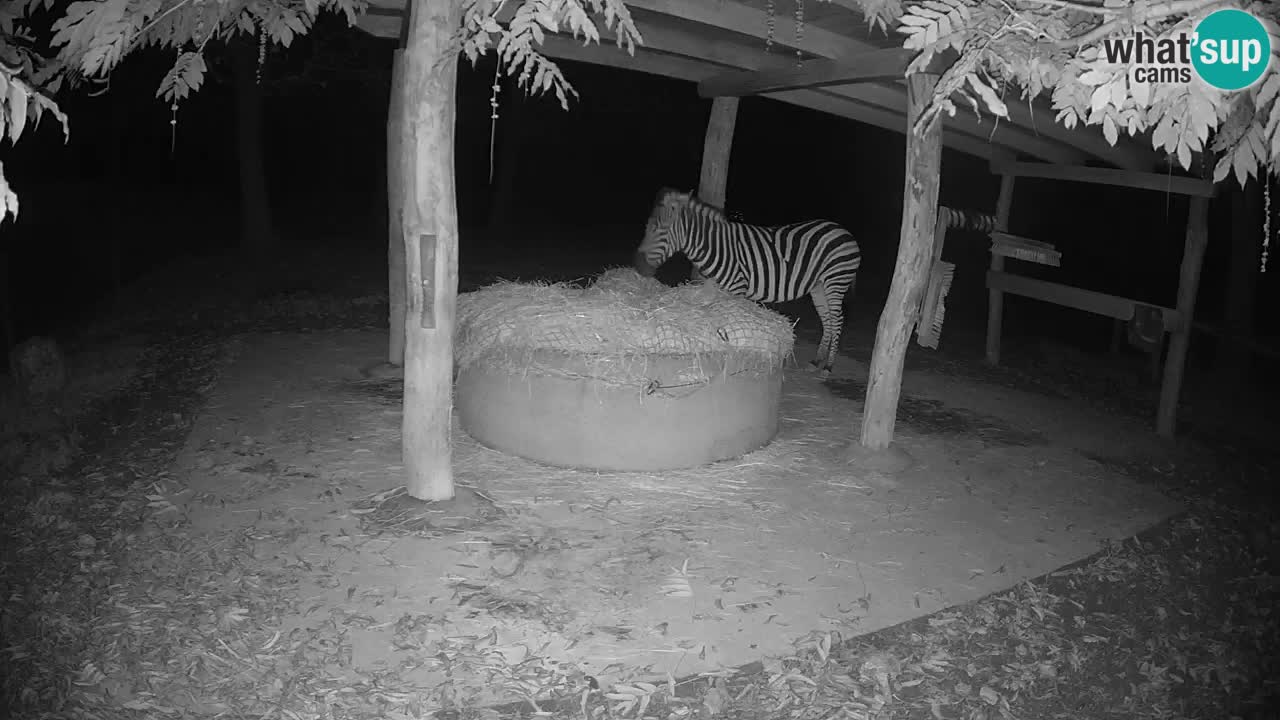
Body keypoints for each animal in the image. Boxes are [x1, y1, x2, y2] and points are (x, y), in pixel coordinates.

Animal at [634, 187, 862, 376]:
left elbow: (732, 324)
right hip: (818, 286)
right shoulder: (718, 289)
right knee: (827, 320)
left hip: (835, 280)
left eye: (657, 230)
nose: (638, 267)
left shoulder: (737, 290)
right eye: (648, 228)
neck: (715, 247)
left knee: (837, 320)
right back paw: (816, 362)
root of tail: (841, 229)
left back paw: (828, 367)